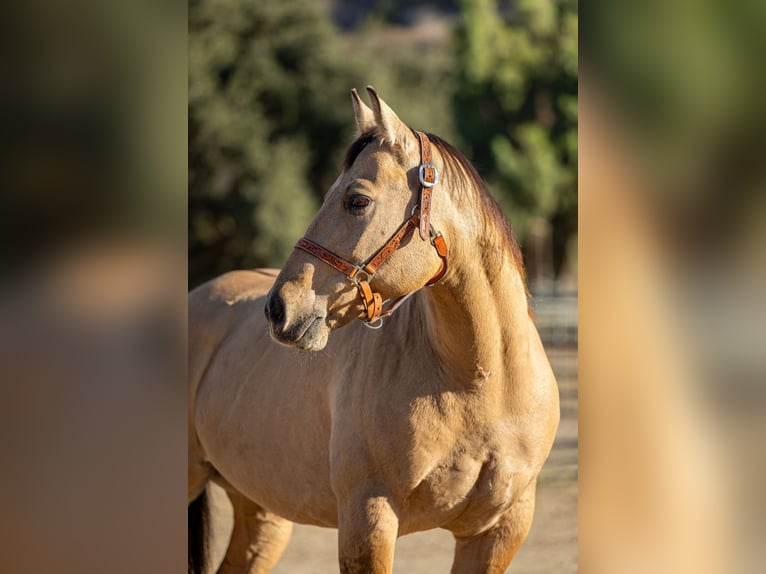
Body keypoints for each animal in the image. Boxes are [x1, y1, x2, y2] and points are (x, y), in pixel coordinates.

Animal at [188, 87, 560, 574]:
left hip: (261, 511)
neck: (483, 381)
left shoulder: (498, 532)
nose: (278, 309)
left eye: (357, 200)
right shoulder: (369, 520)